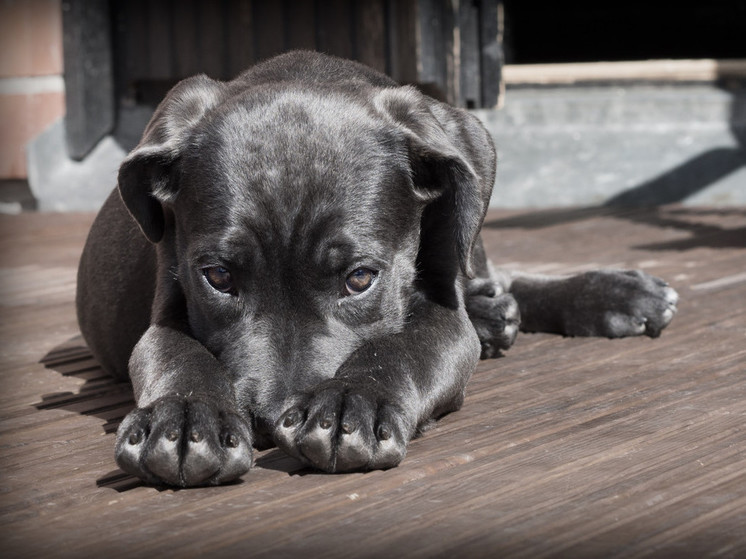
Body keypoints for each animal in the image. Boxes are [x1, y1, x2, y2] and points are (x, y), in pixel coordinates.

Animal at [75, 52, 676, 490]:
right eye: (218, 278)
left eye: (360, 279)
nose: (268, 421)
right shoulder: (167, 302)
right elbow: (175, 352)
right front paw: (183, 419)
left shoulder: (442, 313)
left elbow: (404, 346)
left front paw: (350, 403)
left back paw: (612, 294)